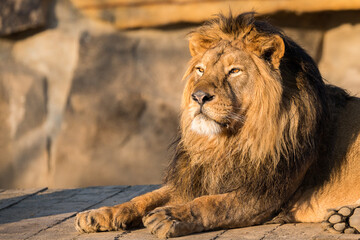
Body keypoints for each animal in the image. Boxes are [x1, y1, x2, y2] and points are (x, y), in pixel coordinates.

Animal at [74, 12, 360, 237]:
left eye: (234, 71)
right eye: (200, 70)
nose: (199, 96)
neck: (228, 141)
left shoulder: (265, 192)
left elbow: (212, 203)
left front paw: (170, 216)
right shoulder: (196, 177)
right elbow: (146, 196)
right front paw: (100, 214)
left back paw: (348, 220)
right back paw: (344, 219)